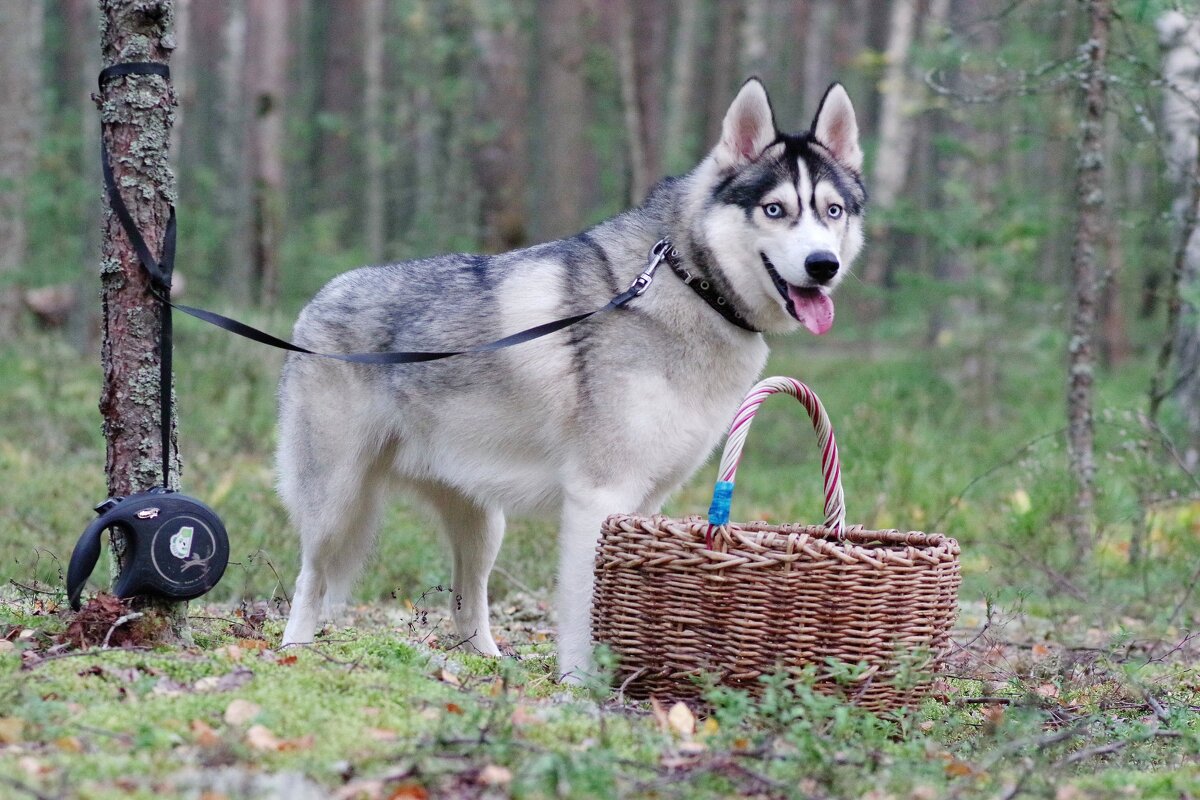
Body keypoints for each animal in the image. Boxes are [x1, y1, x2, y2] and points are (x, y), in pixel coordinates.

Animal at [278, 77, 864, 681]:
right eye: (775, 209)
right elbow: (583, 616)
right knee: (310, 580)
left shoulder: (642, 508)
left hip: (484, 524)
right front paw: (582, 687)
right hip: (336, 504)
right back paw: (292, 654)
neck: (688, 283)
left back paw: (495, 667)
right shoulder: (598, 495)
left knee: (466, 607)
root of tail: (320, 297)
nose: (823, 265)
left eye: (833, 211)